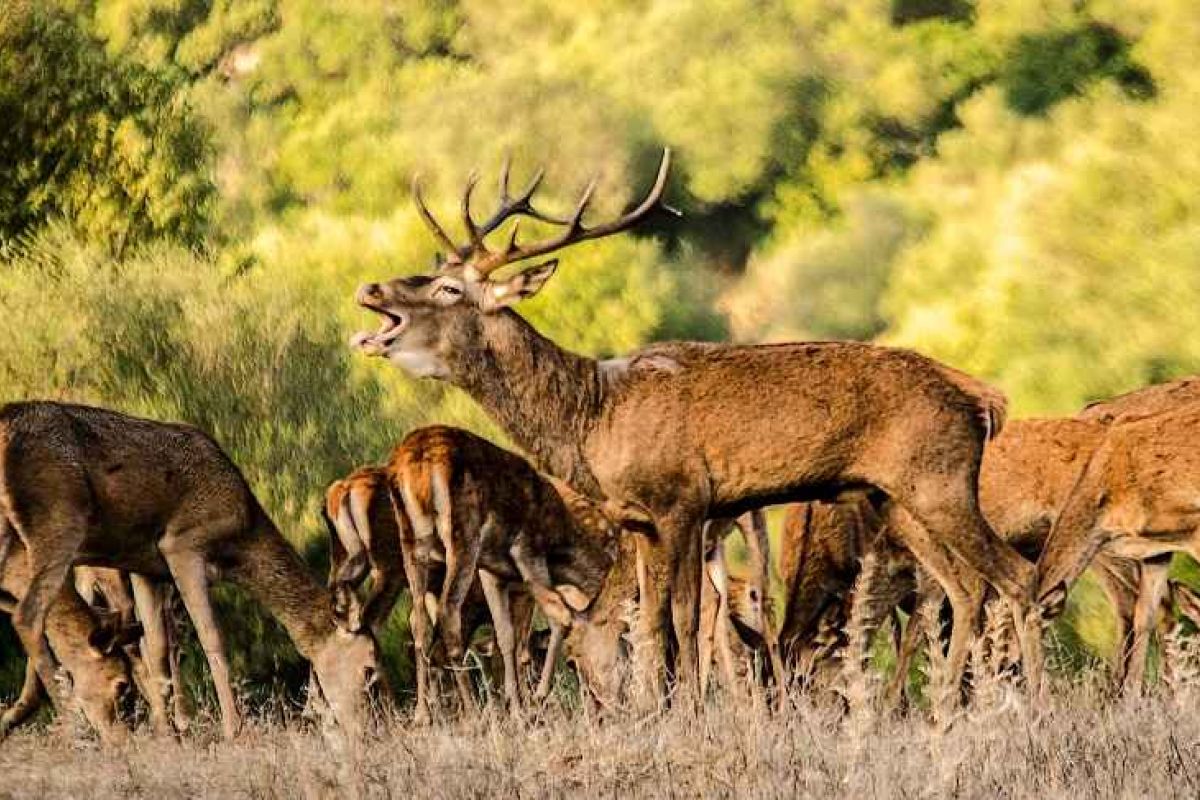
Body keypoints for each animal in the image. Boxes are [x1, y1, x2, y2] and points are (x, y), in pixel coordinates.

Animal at [0, 400, 384, 740]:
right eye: (368, 668)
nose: (368, 729)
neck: (239, 544)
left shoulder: (145, 568)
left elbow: (156, 646)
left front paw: (169, 733)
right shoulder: (182, 545)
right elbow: (211, 636)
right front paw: (234, 730)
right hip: (58, 521)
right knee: (27, 615)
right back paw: (69, 719)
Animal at [386, 426, 621, 720]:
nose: (610, 700)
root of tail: (412, 467)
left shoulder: (492, 571)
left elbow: (505, 635)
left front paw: (517, 706)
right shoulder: (527, 550)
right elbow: (558, 617)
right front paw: (537, 697)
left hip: (411, 542)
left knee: (417, 622)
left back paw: (423, 714)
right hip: (462, 534)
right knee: (448, 613)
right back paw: (472, 712)